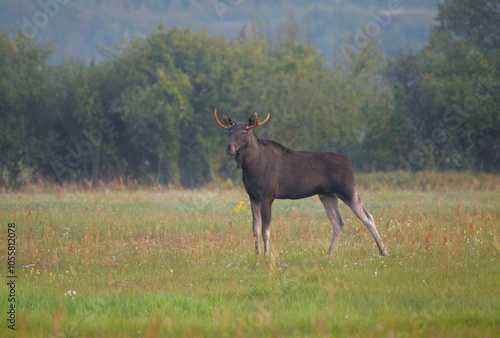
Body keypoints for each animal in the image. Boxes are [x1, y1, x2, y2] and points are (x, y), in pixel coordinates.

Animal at [213, 109, 388, 258]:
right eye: (229, 132)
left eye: (244, 132)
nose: (229, 148)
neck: (250, 166)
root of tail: (351, 164)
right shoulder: (252, 197)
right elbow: (255, 229)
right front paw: (256, 254)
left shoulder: (267, 196)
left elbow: (265, 230)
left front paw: (266, 255)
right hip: (327, 195)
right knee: (338, 223)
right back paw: (329, 254)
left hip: (347, 190)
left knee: (368, 217)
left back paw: (384, 252)